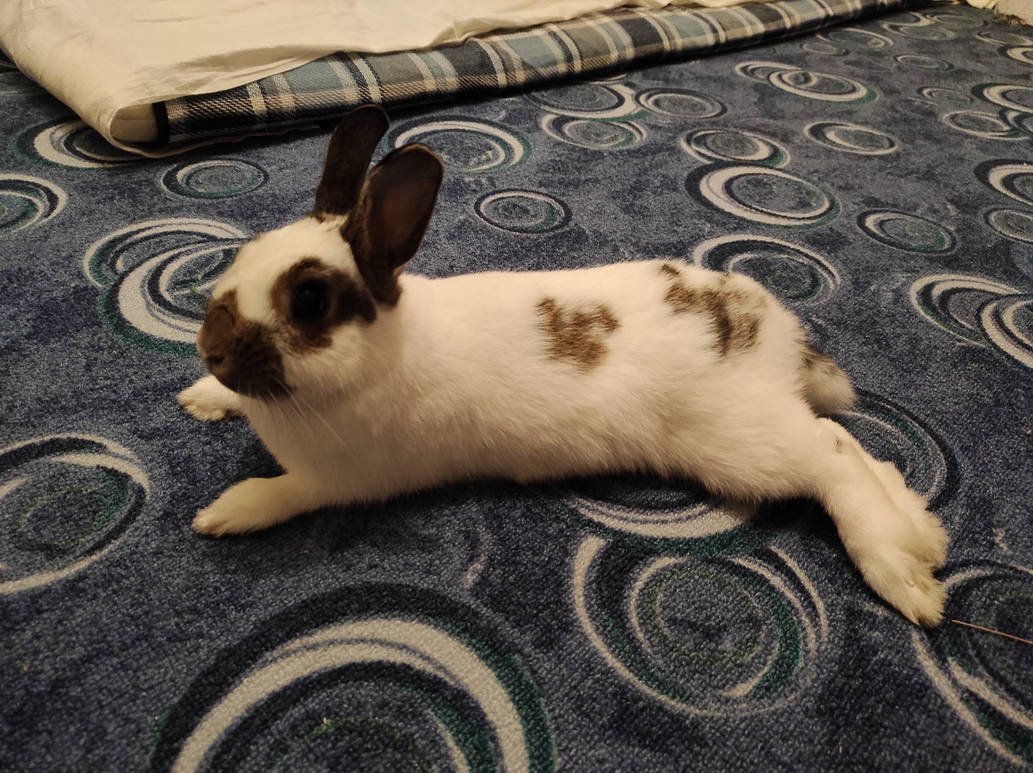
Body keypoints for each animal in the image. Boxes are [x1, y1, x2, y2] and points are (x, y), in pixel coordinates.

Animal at [178, 105, 949, 626]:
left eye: (309, 301)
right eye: (245, 253)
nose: (210, 348)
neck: (382, 351)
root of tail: (773, 332)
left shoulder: (340, 479)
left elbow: (283, 494)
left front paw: (223, 513)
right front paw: (201, 395)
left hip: (740, 445)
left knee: (832, 455)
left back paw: (903, 577)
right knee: (858, 450)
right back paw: (923, 538)